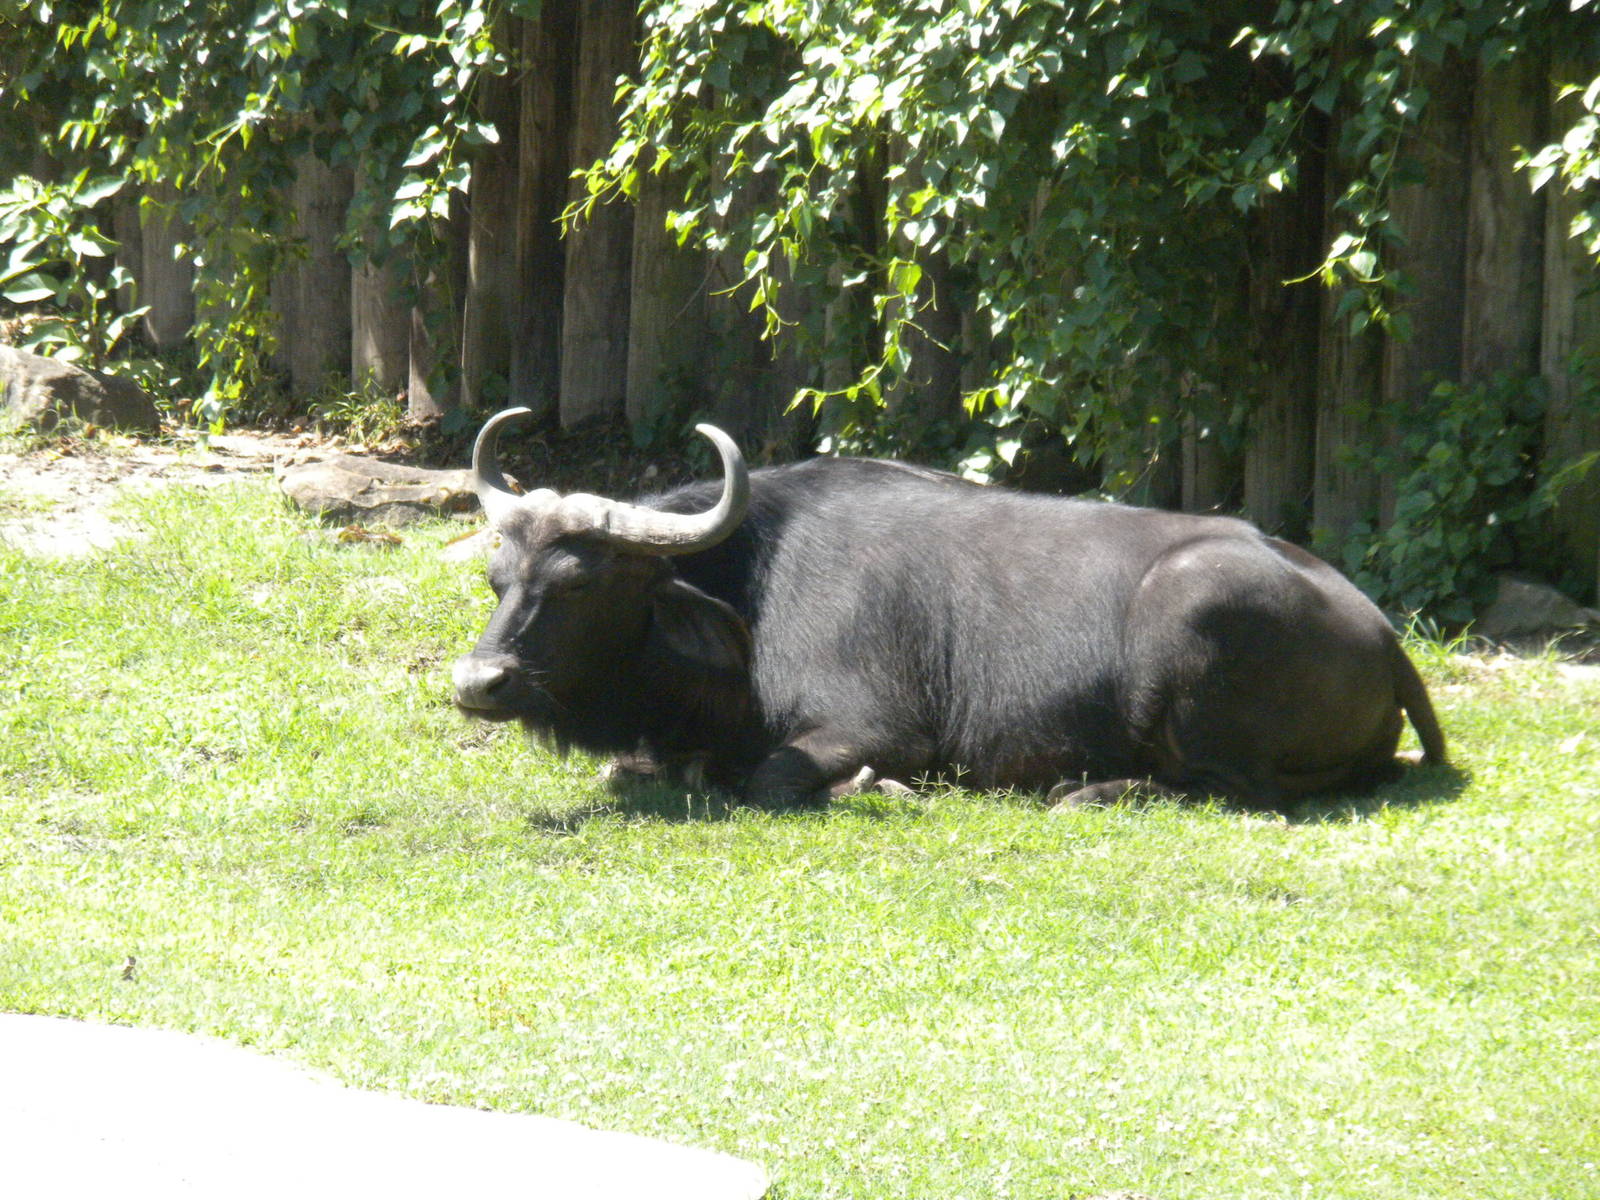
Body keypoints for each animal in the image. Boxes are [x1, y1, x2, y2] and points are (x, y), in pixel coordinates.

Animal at [452, 407, 1446, 807]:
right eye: (503, 581)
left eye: (581, 582)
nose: (478, 682)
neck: (750, 590)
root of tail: (1381, 634)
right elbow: (645, 767)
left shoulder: (876, 727)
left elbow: (775, 777)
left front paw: (868, 786)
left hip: (1197, 616)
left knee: (1240, 788)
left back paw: (1090, 791)